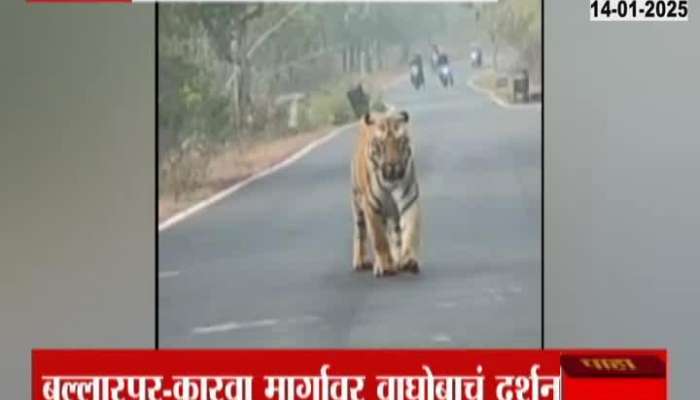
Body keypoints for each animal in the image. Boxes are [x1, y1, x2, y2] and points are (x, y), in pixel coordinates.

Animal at [350, 109, 422, 278]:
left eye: (400, 141)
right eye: (381, 144)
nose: (393, 166)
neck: (392, 179)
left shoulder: (409, 202)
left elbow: (410, 231)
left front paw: (409, 261)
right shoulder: (372, 206)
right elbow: (379, 239)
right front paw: (386, 266)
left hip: (393, 215)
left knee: (396, 235)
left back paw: (397, 259)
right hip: (357, 202)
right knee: (360, 231)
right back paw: (361, 261)